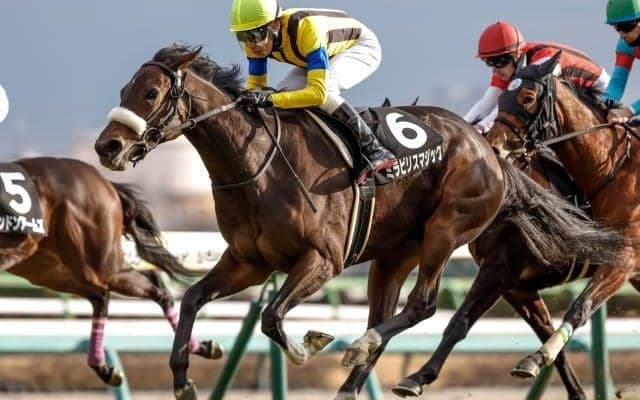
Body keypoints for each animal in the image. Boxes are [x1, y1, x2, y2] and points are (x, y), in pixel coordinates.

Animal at [0, 157, 218, 386]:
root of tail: (107, 183)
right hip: (46, 268)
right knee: (102, 295)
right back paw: (104, 368)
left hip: (96, 265)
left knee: (154, 288)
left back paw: (198, 347)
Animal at [93, 44, 623, 400]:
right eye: (123, 90)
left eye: (151, 92)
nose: (106, 146)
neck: (257, 162)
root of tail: (492, 152)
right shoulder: (249, 262)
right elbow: (194, 299)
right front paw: (183, 377)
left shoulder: (322, 261)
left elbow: (271, 317)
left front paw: (310, 345)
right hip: (393, 256)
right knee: (388, 316)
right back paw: (354, 377)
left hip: (448, 229)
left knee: (422, 306)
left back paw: (365, 349)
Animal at [478, 51, 640, 384]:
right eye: (501, 99)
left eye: (527, 98)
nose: (495, 146)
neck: (616, 169)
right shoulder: (515, 284)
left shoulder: (625, 258)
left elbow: (580, 306)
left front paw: (538, 357)